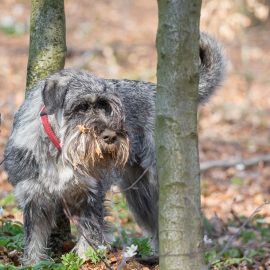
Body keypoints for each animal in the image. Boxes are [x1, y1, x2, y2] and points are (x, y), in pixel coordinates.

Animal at [3, 32, 226, 264]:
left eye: (106, 106)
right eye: (82, 107)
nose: (111, 135)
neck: (60, 150)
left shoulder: (91, 196)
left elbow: (90, 232)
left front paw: (86, 259)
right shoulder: (34, 199)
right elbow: (34, 239)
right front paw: (32, 263)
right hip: (139, 193)